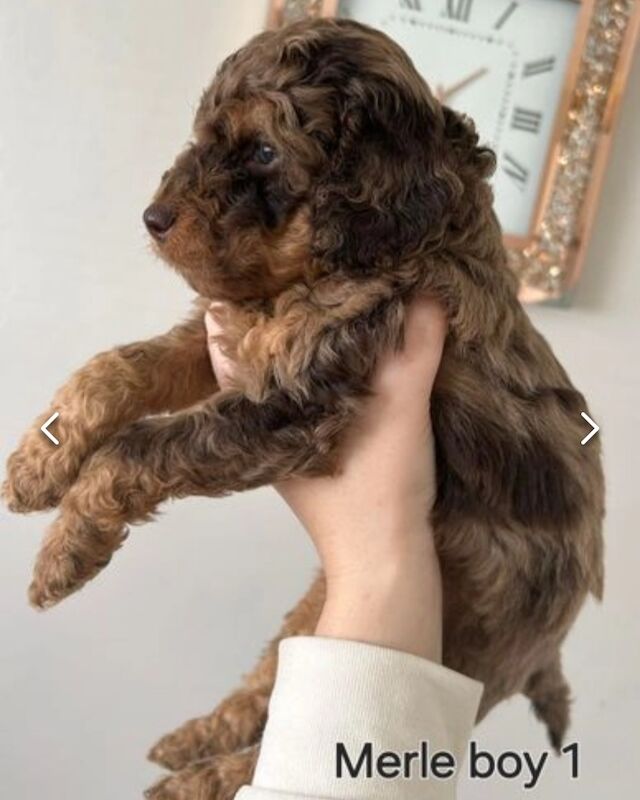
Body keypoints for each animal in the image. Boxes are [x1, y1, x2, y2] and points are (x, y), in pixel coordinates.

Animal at [3, 18, 604, 800]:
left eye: (263, 151)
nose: (154, 218)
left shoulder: (296, 403)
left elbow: (138, 445)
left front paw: (66, 551)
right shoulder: (226, 339)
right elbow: (117, 367)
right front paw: (36, 466)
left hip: (470, 652)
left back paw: (195, 780)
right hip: (323, 611)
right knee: (266, 685)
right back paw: (191, 742)